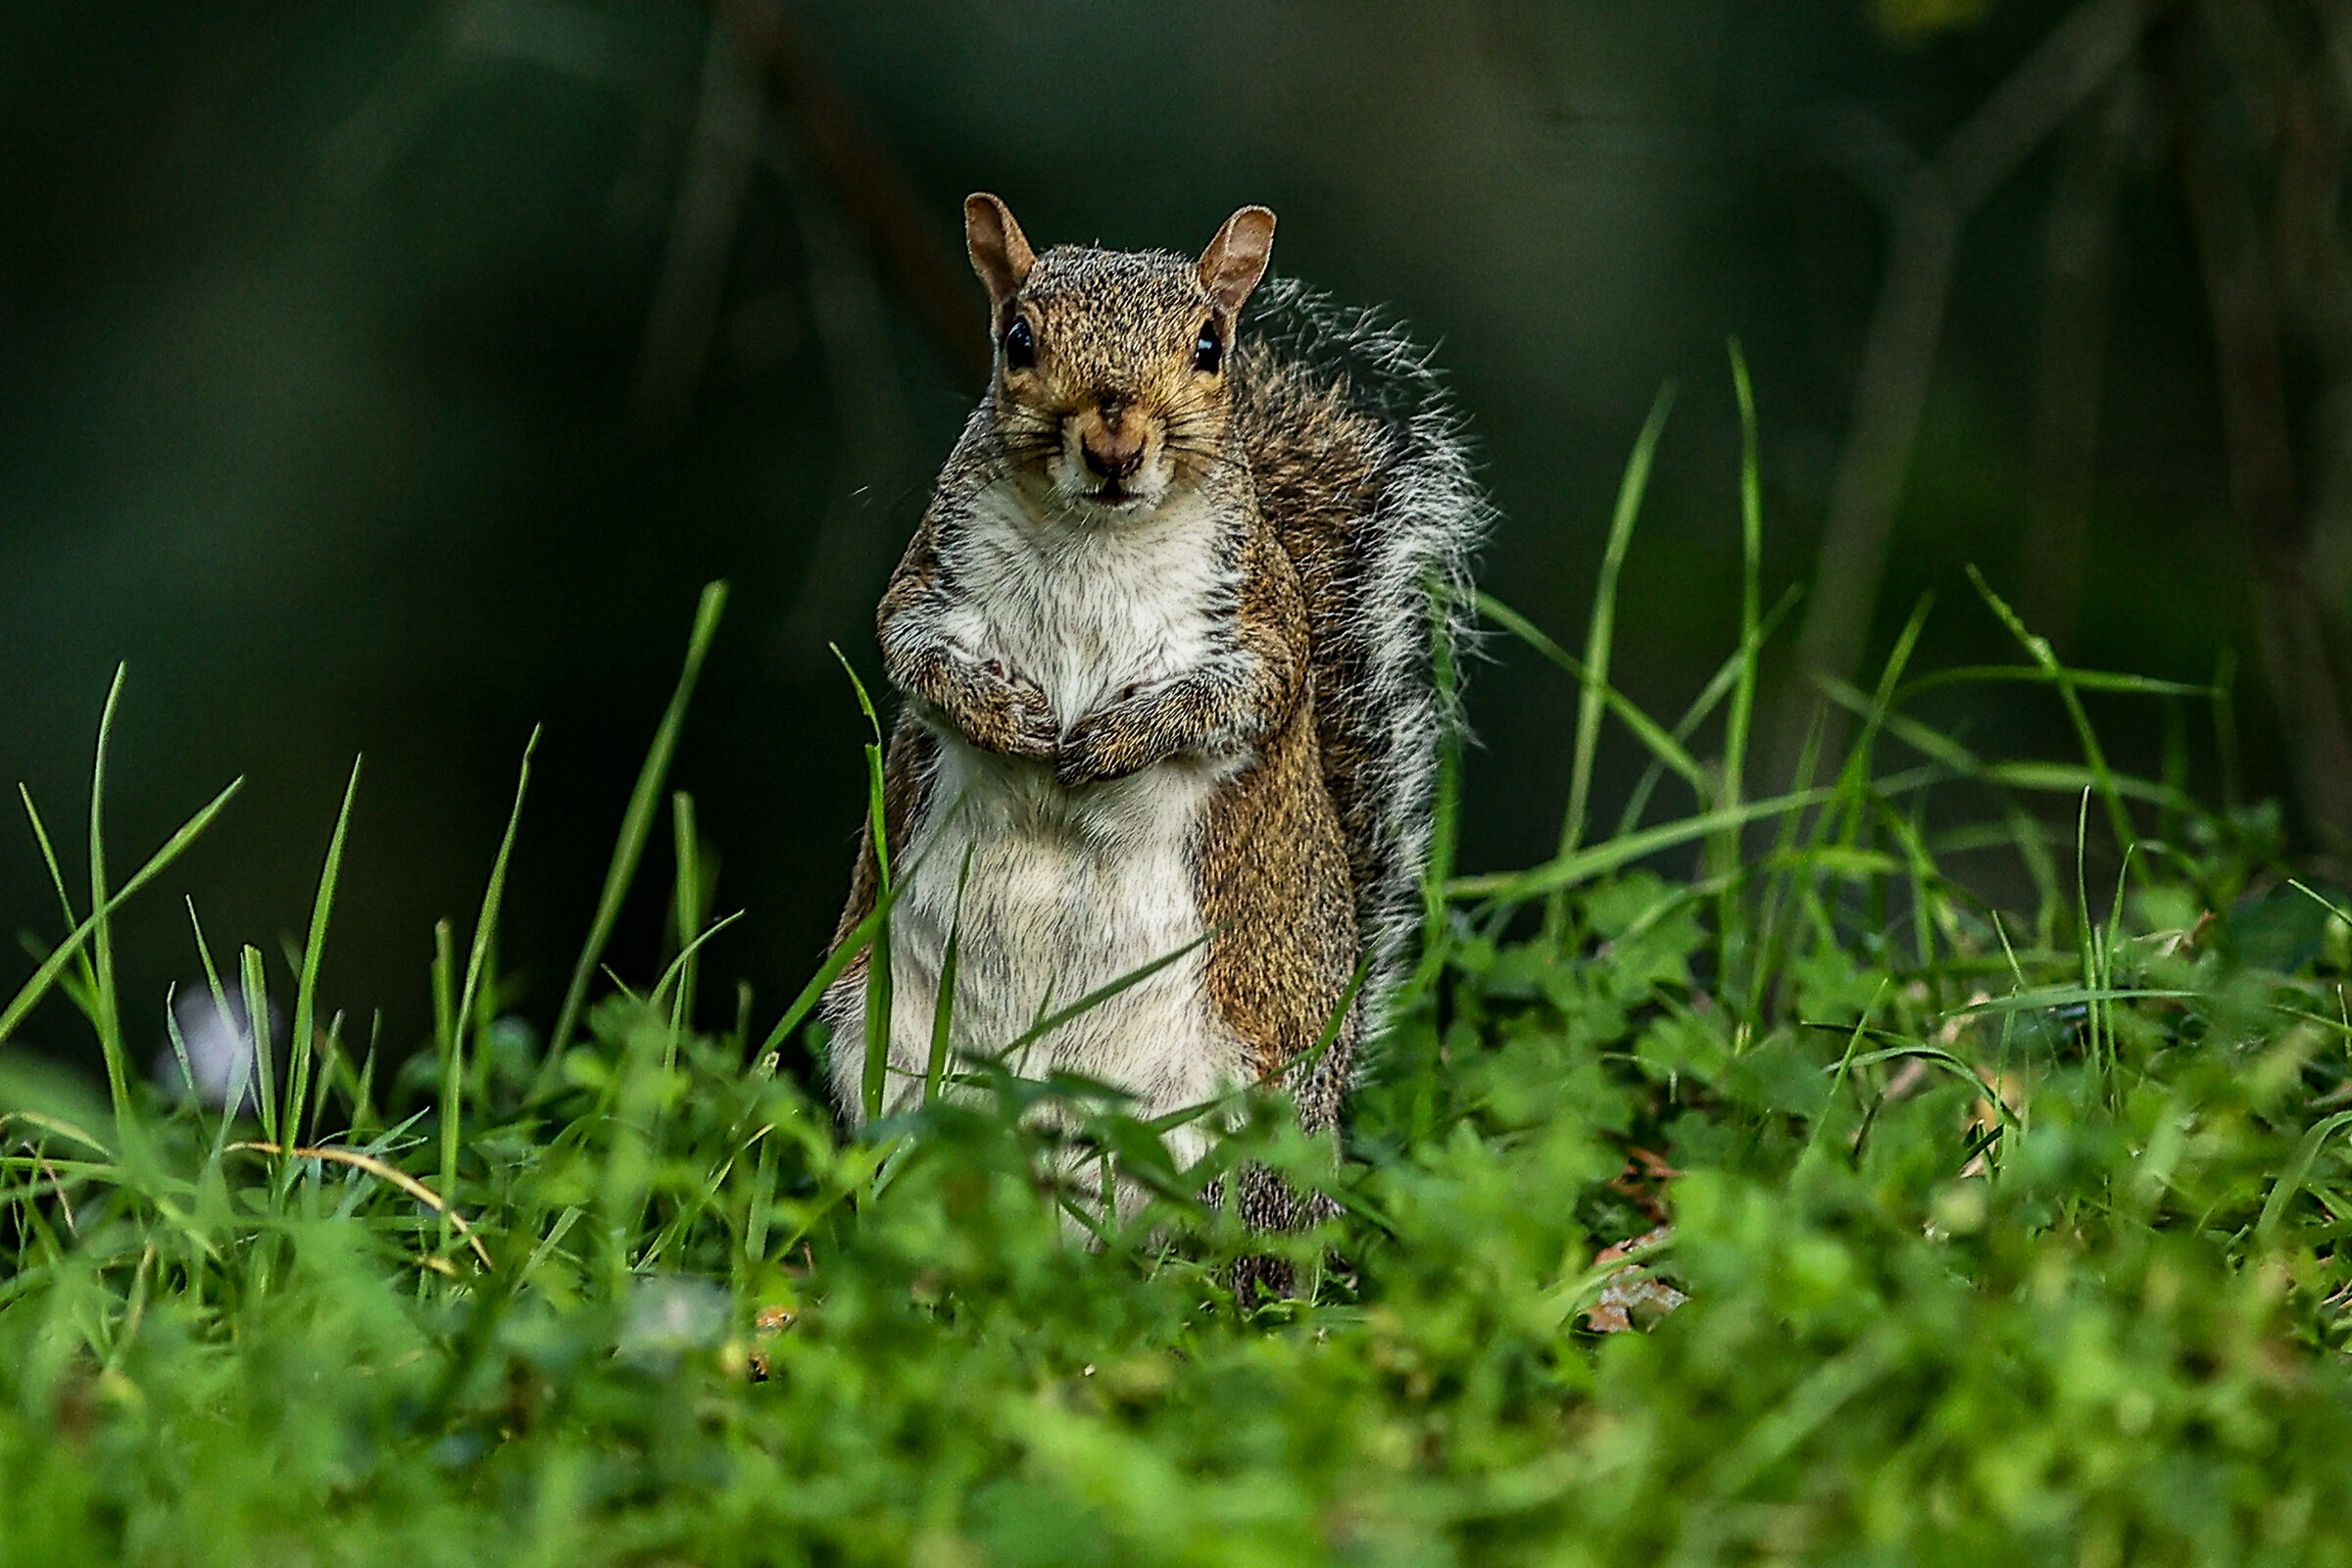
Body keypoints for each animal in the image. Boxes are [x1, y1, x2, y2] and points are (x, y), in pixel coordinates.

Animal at [822, 193, 1485, 1240]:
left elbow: (1235, 697)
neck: (1097, 537)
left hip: (1237, 1138)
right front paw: (1003, 716)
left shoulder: (1263, 623)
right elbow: (910, 649)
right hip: (894, 1078)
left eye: (1210, 346)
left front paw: (1118, 739)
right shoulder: (928, 575)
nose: (1114, 446)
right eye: (1017, 338)